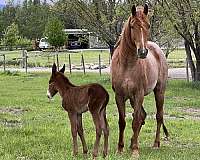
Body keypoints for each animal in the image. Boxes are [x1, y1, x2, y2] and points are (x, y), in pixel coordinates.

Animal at [111, 4, 169, 157]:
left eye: (148, 25)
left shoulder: (138, 95)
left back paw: (155, 143)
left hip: (159, 91)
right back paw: (131, 143)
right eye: (132, 26)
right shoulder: (119, 96)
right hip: (132, 99)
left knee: (158, 116)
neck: (126, 64)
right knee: (143, 116)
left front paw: (135, 151)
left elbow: (135, 122)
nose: (142, 52)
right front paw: (120, 149)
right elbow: (122, 121)